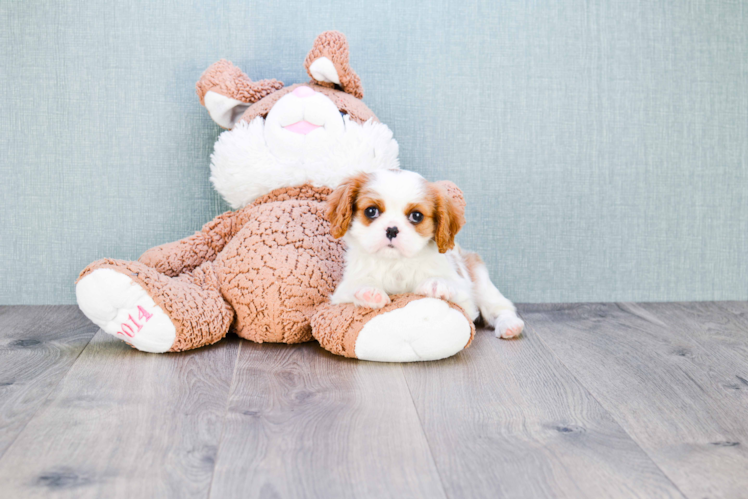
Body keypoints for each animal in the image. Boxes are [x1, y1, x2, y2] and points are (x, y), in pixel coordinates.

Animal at [328, 169, 524, 340]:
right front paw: (368, 290)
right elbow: (355, 287)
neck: (396, 263)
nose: (392, 229)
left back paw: (510, 325)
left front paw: (436, 283)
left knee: (500, 308)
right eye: (371, 211)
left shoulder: (466, 299)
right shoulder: (340, 294)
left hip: (481, 280)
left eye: (416, 216)